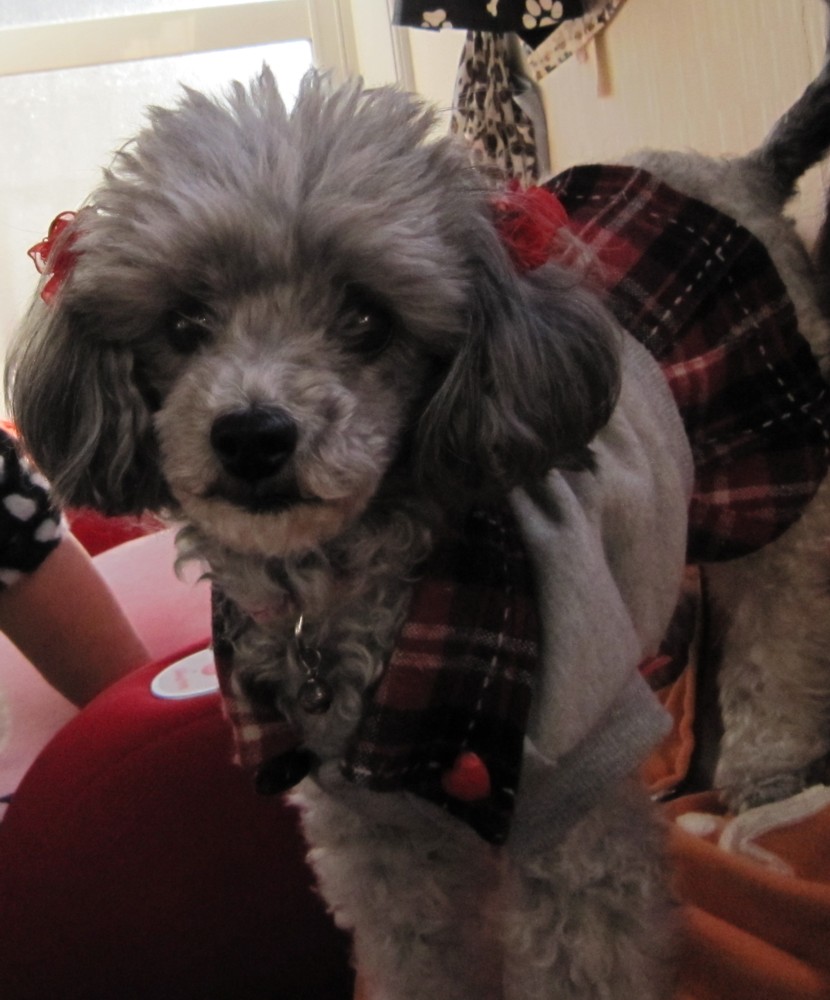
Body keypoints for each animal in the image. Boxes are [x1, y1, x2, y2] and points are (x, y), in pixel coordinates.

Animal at [7, 27, 830, 998]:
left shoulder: (572, 811)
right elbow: (413, 952)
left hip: (776, 480)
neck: (341, 599)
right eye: (185, 322)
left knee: (780, 628)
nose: (252, 435)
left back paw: (768, 768)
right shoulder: (371, 818)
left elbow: (580, 955)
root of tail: (740, 171)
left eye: (368, 319)